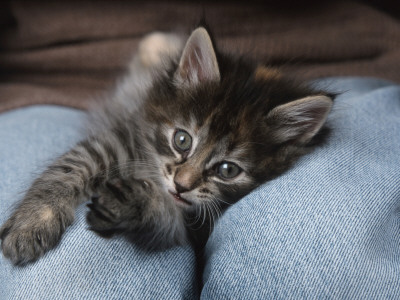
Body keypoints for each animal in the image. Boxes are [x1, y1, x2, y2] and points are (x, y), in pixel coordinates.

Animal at [0, 26, 332, 264]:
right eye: (182, 140)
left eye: (228, 170)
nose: (182, 185)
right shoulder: (119, 139)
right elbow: (67, 170)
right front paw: (31, 225)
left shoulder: (193, 228)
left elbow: (164, 218)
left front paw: (132, 203)